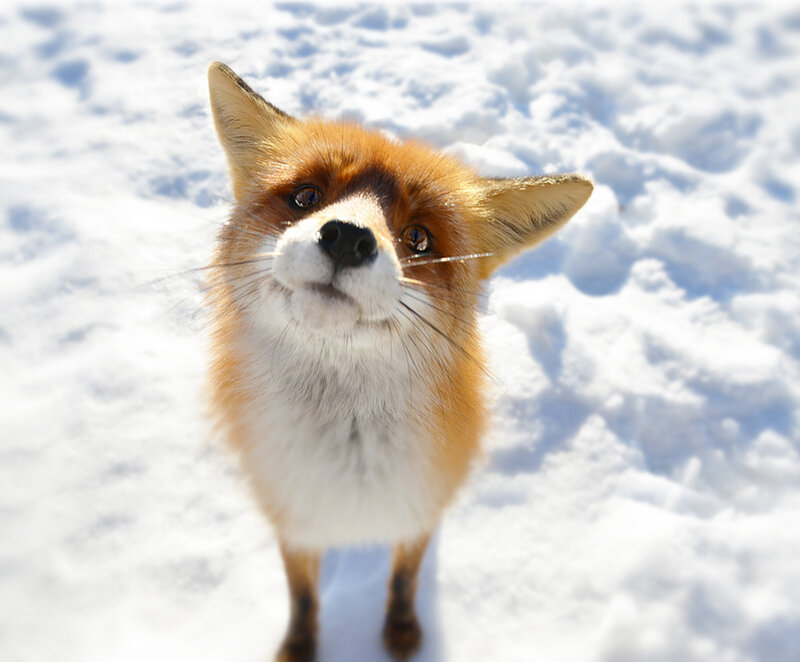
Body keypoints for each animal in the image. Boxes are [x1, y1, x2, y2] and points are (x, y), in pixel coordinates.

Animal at [206, 61, 592, 662]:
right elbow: (303, 596)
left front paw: (403, 633)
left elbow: (405, 578)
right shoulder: (291, 517)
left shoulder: (419, 508)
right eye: (306, 196)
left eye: (419, 237)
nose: (346, 238)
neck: (348, 460)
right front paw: (300, 646)